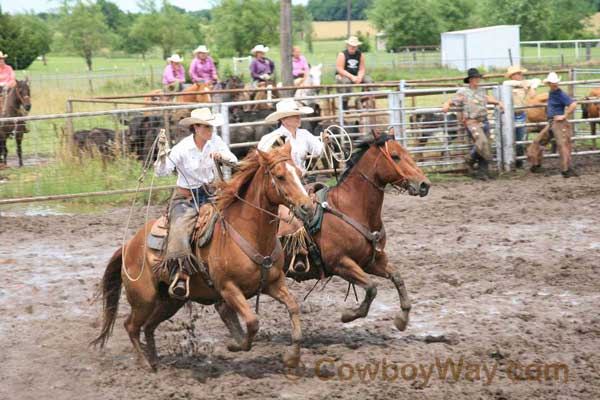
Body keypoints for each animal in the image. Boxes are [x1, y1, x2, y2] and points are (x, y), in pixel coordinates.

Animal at [91, 142, 314, 370]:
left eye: (299, 173)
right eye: (280, 176)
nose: (307, 206)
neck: (250, 234)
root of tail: (128, 245)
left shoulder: (274, 283)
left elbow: (293, 307)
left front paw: (292, 358)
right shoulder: (228, 288)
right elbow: (252, 322)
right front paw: (236, 344)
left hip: (170, 301)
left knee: (149, 326)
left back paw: (154, 360)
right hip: (143, 299)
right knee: (131, 326)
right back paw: (145, 363)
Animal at [278, 133, 428, 332]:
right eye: (395, 156)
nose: (425, 184)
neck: (351, 207)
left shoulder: (370, 260)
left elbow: (396, 276)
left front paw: (402, 319)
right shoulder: (340, 263)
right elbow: (372, 287)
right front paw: (349, 315)